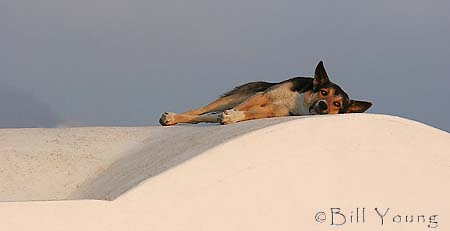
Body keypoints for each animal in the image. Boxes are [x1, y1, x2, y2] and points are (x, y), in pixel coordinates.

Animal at [160, 61, 370, 126]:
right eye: (324, 92)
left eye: (337, 104)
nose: (323, 105)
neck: (299, 103)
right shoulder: (262, 96)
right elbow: (241, 108)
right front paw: (232, 115)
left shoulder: (271, 112)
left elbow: (245, 113)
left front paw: (232, 117)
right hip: (240, 94)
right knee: (200, 111)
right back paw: (172, 117)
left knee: (204, 117)